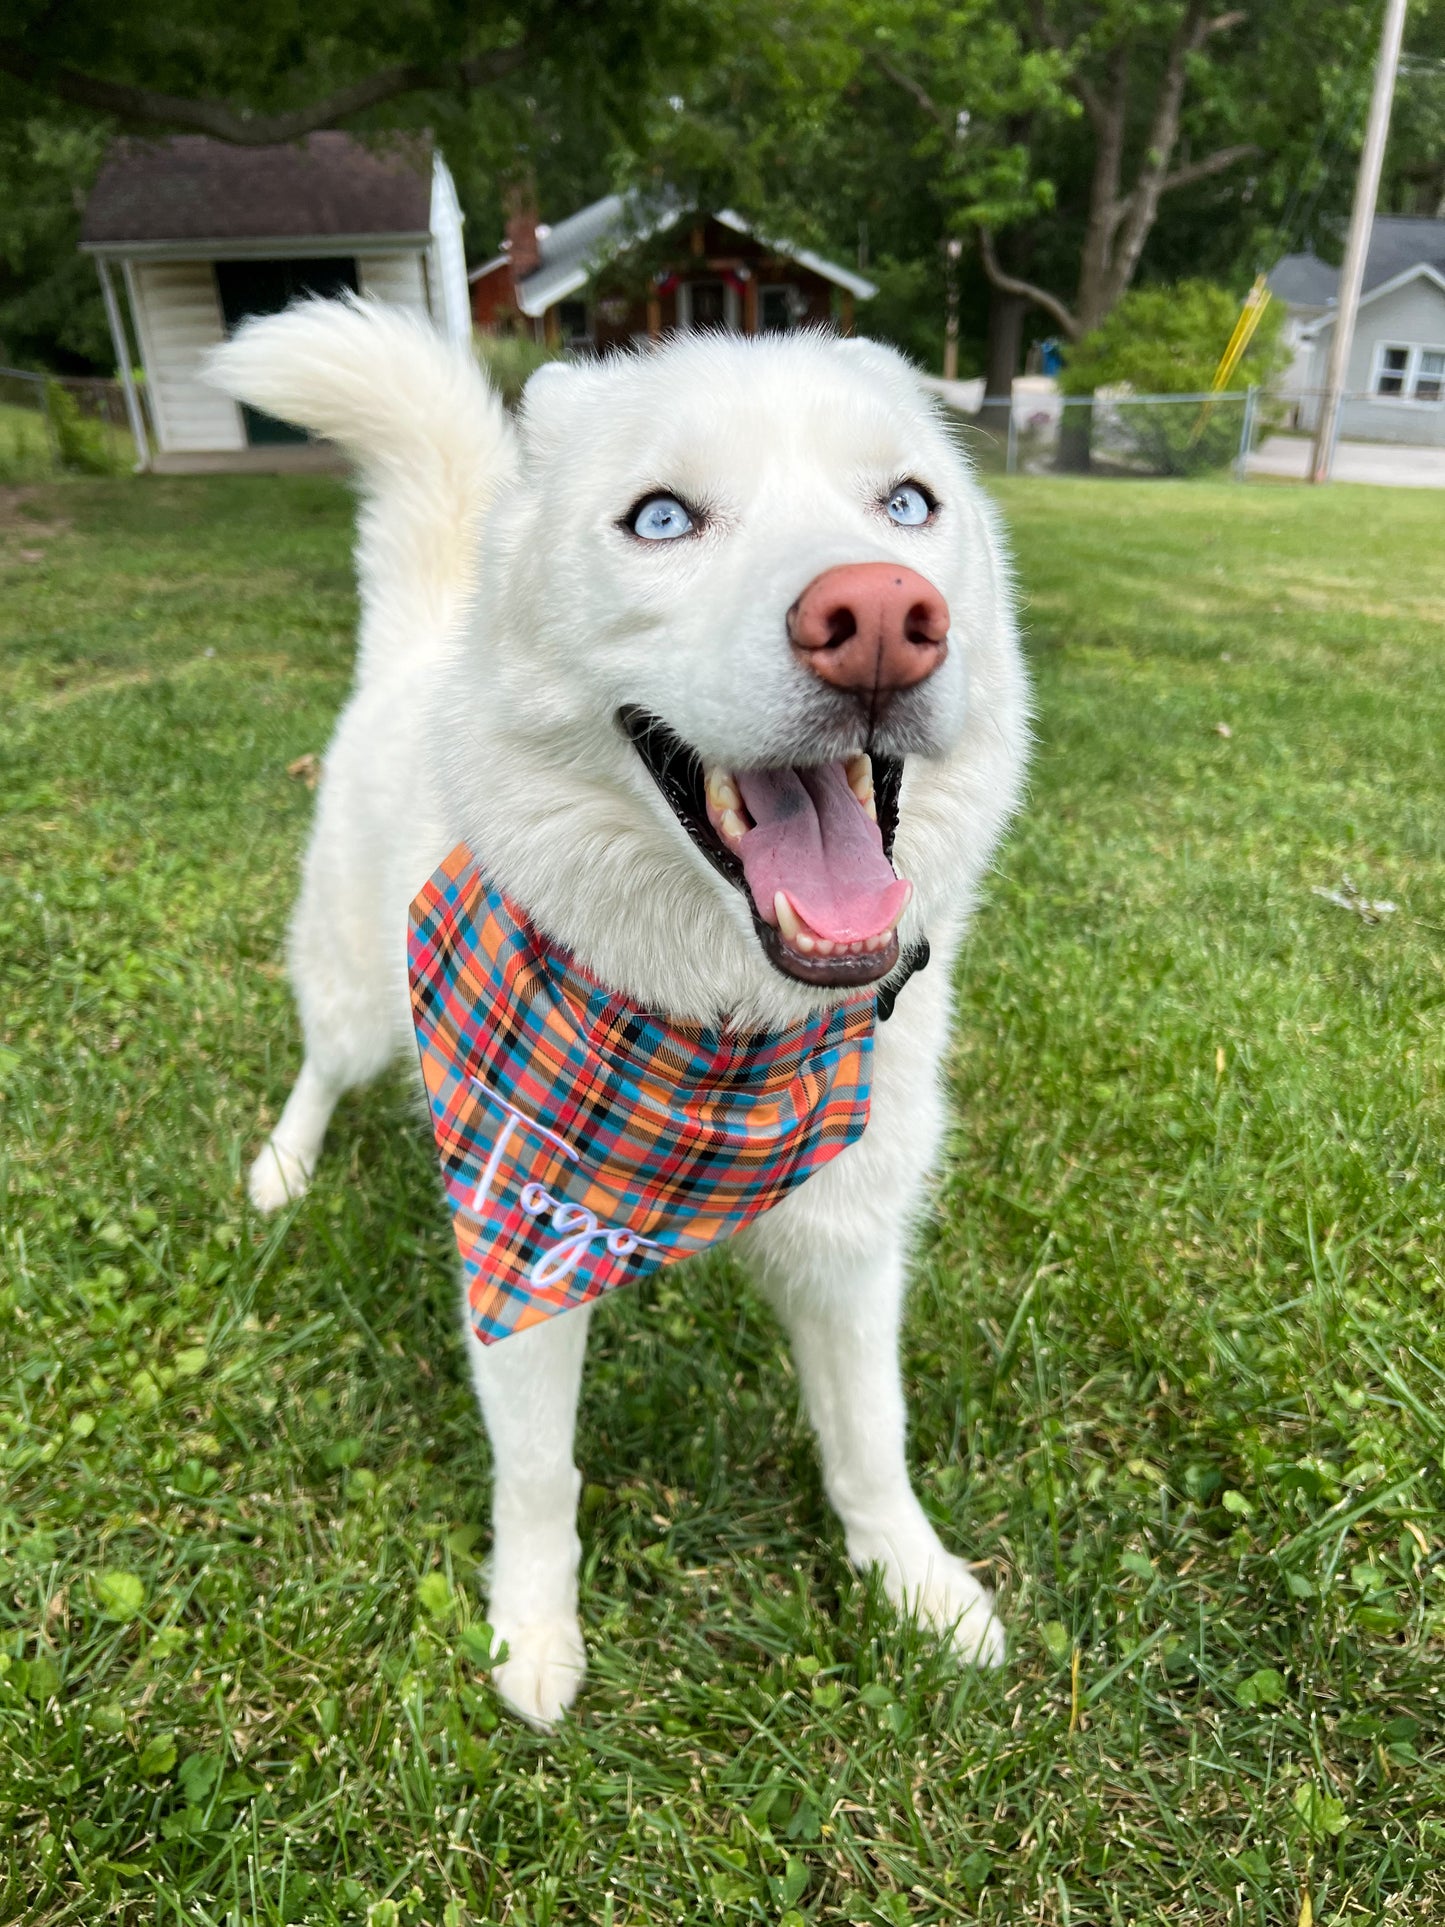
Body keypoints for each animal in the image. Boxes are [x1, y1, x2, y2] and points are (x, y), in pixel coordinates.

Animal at [209, 304, 1032, 1734]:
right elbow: (540, 1476)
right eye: (659, 518)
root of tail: (422, 640)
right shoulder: (524, 1251)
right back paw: (283, 1167)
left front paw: (915, 1586)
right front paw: (533, 1632)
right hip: (361, 996)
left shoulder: (850, 1241)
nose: (880, 616)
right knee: (320, 1063)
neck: (717, 1026)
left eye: (906, 503)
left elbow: (870, 1440)